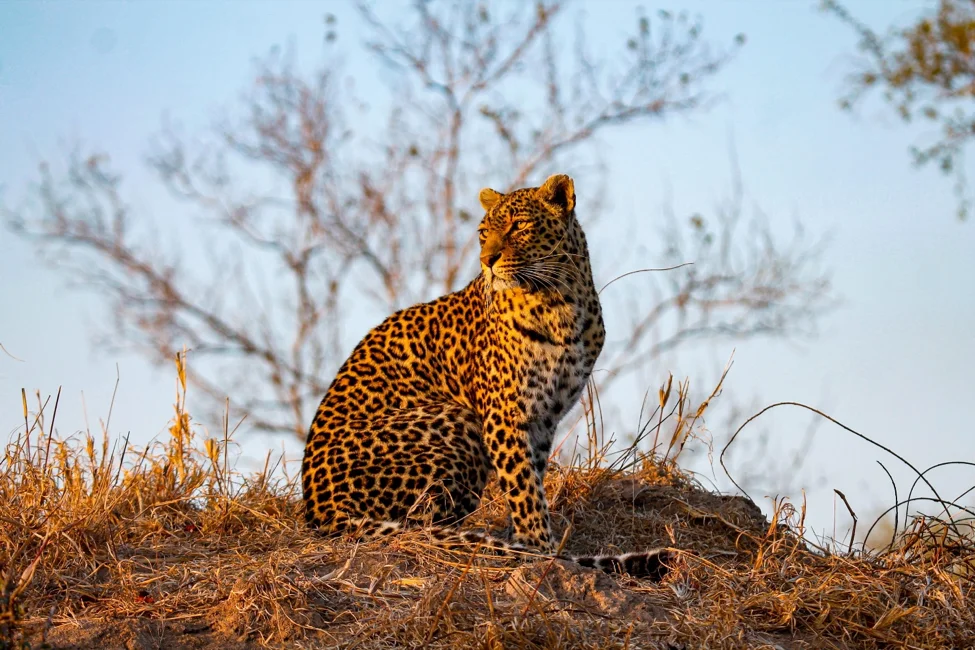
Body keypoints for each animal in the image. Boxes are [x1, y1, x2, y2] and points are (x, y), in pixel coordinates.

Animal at [302, 174, 673, 579]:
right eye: (483, 233)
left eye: (519, 226)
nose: (487, 261)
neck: (561, 301)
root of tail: (320, 511)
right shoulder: (504, 413)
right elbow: (522, 485)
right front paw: (540, 549)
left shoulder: (544, 416)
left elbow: (531, 476)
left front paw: (524, 538)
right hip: (459, 421)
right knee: (420, 523)